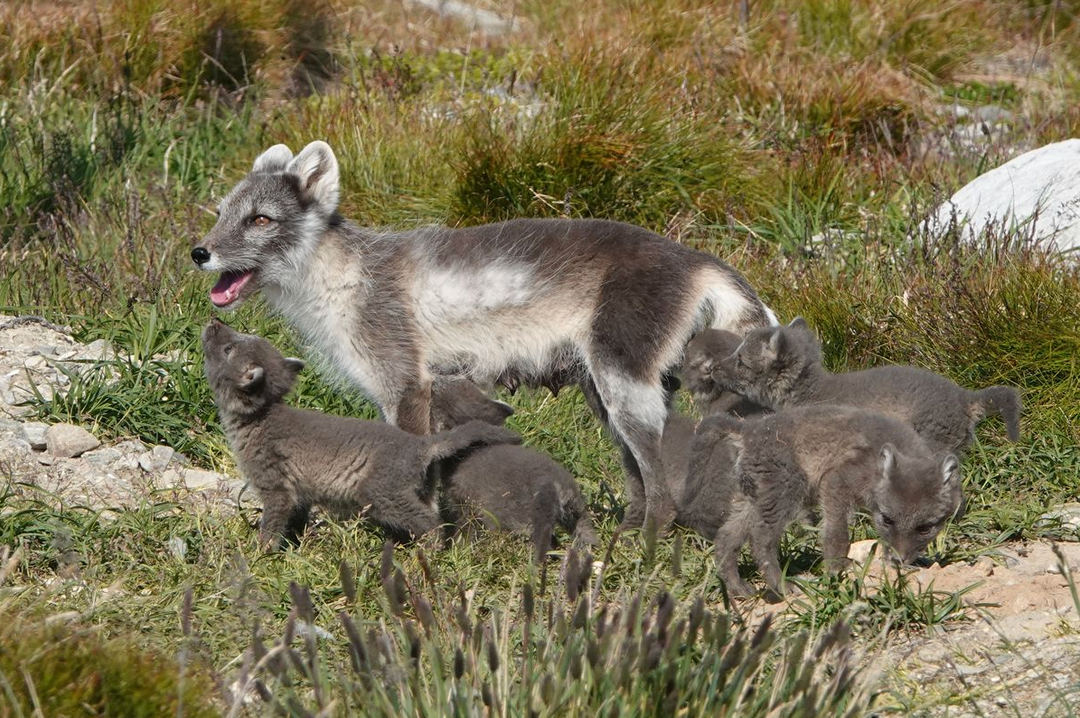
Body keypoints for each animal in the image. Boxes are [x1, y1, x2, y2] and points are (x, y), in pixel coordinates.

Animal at [192, 141, 777, 531]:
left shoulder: (406, 383)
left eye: (261, 219)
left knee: (659, 481)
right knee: (637, 473)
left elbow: (416, 460)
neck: (342, 278)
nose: (199, 252)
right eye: (220, 213)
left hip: (623, 385)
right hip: (605, 393)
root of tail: (695, 257)